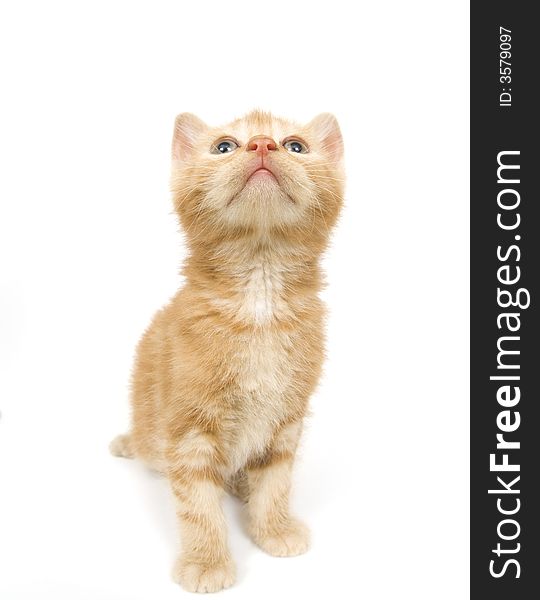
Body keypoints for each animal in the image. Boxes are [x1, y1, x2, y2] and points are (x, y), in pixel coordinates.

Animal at [111, 110, 344, 592]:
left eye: (295, 146)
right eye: (224, 146)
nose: (261, 144)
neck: (260, 299)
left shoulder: (285, 421)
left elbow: (276, 483)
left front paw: (274, 529)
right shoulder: (189, 429)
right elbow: (198, 505)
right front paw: (207, 562)